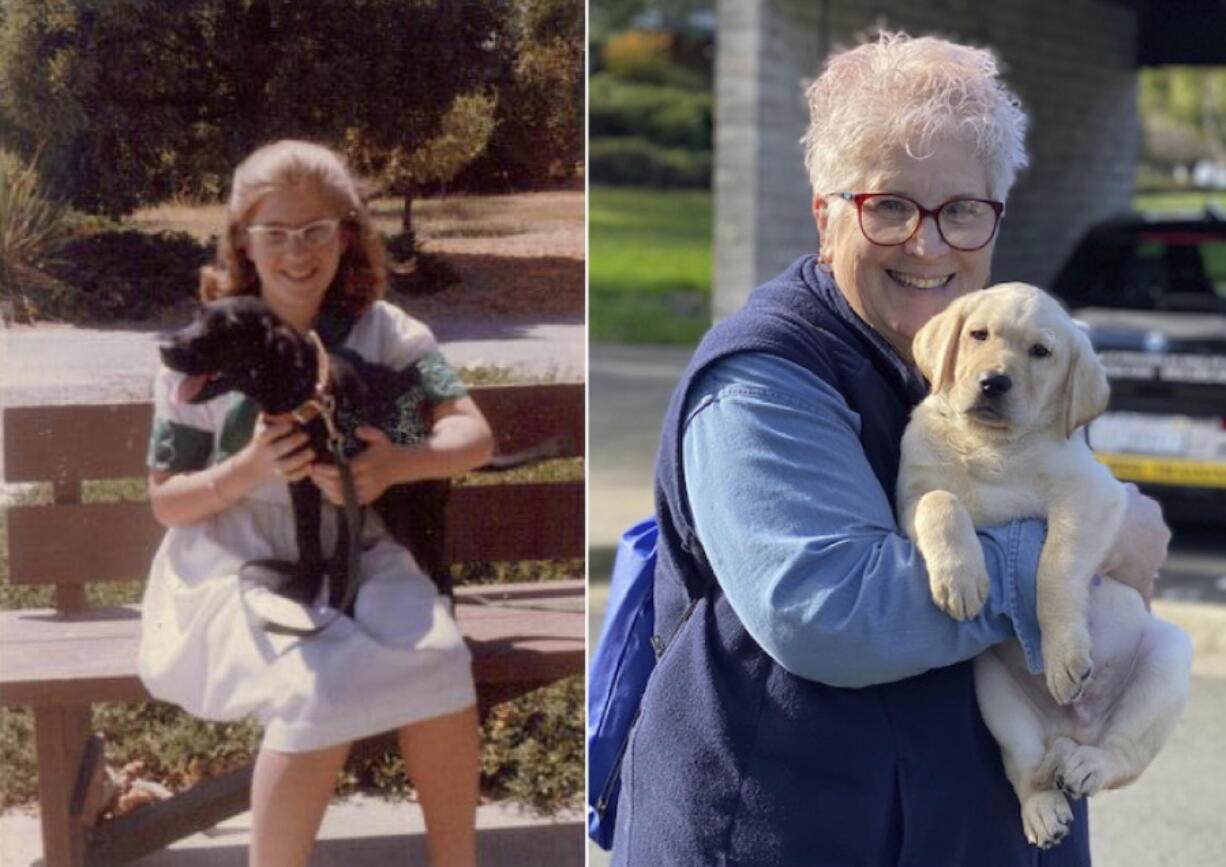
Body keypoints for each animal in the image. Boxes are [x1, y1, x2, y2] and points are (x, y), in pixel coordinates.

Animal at [159, 297, 451, 618]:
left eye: (228, 328)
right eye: (196, 316)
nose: (164, 348)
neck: (311, 399)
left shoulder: (348, 487)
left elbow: (342, 556)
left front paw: (341, 607)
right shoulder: (300, 480)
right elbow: (307, 540)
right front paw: (305, 590)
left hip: (424, 507)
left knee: (439, 566)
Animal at [897, 283, 1191, 848]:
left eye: (1040, 352)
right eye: (978, 334)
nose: (993, 382)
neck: (991, 445)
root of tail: (1074, 730)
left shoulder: (1089, 497)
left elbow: (1055, 567)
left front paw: (1063, 656)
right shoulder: (910, 497)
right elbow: (942, 502)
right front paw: (961, 578)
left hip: (1168, 661)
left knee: (1123, 757)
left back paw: (1088, 765)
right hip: (995, 696)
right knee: (1028, 768)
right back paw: (1042, 807)